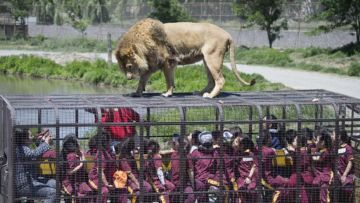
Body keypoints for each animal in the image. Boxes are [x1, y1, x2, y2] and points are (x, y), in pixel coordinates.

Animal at [114, 18, 253, 98]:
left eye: (129, 66)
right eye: (123, 68)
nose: (128, 78)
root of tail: (227, 34)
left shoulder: (168, 62)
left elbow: (169, 80)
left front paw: (167, 93)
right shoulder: (152, 65)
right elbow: (142, 80)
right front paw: (136, 93)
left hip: (213, 58)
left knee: (220, 80)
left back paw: (210, 96)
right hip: (206, 60)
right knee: (211, 81)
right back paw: (200, 92)